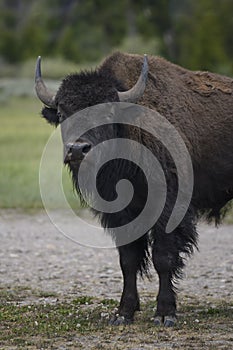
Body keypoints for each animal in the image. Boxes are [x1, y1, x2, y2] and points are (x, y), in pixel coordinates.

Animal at [34, 51, 233, 326]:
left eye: (107, 113)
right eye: (63, 114)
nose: (77, 149)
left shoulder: (169, 209)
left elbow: (163, 257)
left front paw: (165, 314)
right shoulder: (122, 214)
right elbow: (128, 260)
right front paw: (123, 313)